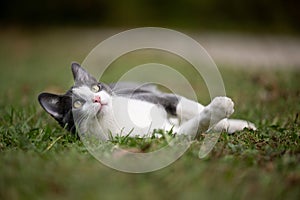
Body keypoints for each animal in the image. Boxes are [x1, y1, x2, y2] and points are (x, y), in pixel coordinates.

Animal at [38, 62, 256, 141]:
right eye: (76, 104)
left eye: (95, 88)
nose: (97, 98)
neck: (113, 118)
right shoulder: (161, 137)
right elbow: (190, 129)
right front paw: (220, 109)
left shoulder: (154, 97)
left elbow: (186, 106)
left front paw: (224, 119)